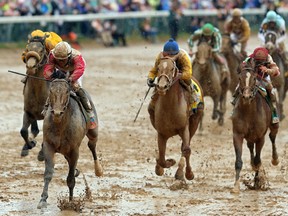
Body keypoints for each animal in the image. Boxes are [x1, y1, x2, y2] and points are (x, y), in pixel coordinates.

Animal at [36, 78, 103, 208]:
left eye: (67, 92)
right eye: (51, 91)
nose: (57, 113)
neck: (60, 125)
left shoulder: (74, 150)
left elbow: (71, 179)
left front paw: (71, 202)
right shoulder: (49, 146)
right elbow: (48, 173)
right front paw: (43, 199)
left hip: (93, 131)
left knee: (92, 145)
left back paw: (98, 170)